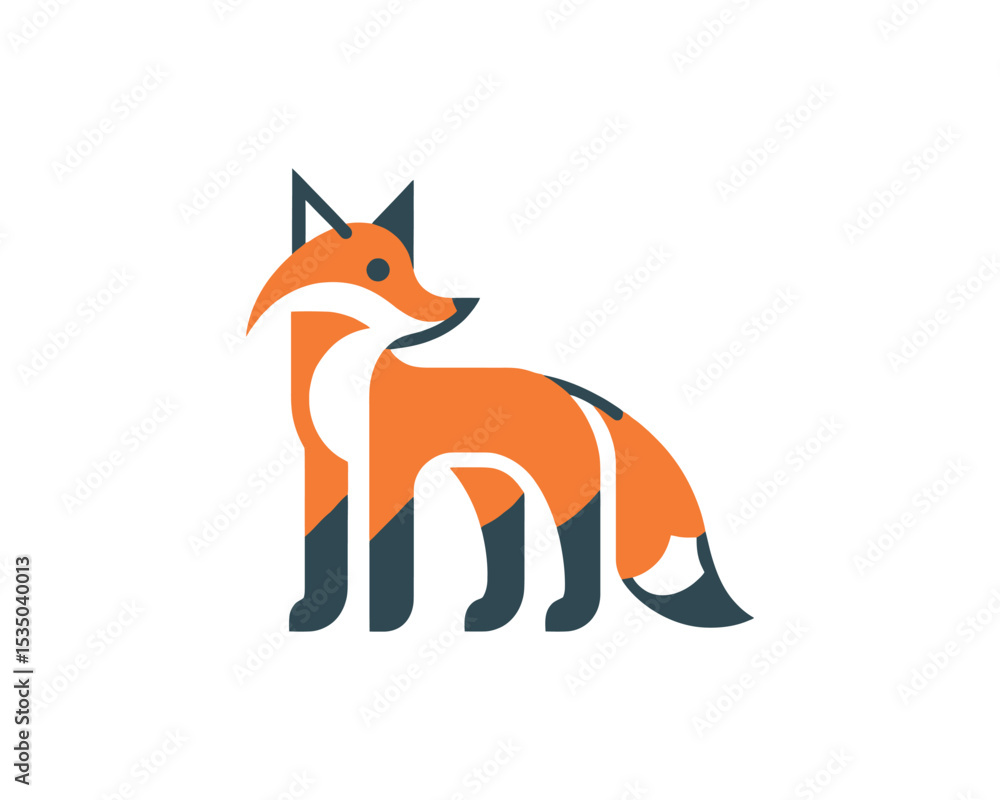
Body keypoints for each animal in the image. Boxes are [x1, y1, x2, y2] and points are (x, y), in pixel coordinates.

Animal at [245, 172, 751, 632]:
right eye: (377, 270)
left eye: (409, 266)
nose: (460, 304)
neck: (348, 376)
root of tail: (562, 386)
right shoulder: (326, 465)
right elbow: (321, 543)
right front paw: (315, 615)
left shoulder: (393, 469)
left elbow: (384, 548)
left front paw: (386, 618)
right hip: (491, 482)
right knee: (504, 547)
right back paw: (491, 615)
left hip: (562, 483)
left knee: (580, 541)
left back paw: (568, 616)